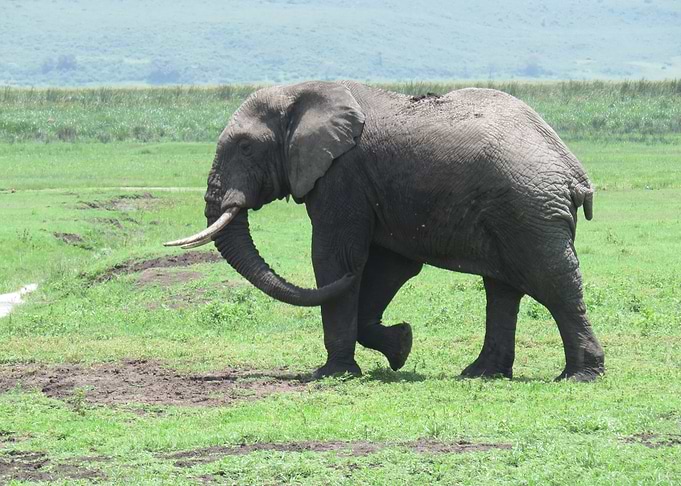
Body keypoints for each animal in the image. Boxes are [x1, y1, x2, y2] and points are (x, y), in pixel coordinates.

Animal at [165, 80, 604, 382]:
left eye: (244, 147)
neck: (305, 92)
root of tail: (573, 170)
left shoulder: (342, 175)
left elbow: (335, 257)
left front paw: (333, 374)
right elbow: (389, 267)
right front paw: (402, 346)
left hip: (529, 208)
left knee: (552, 282)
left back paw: (578, 376)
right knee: (503, 289)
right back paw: (480, 373)